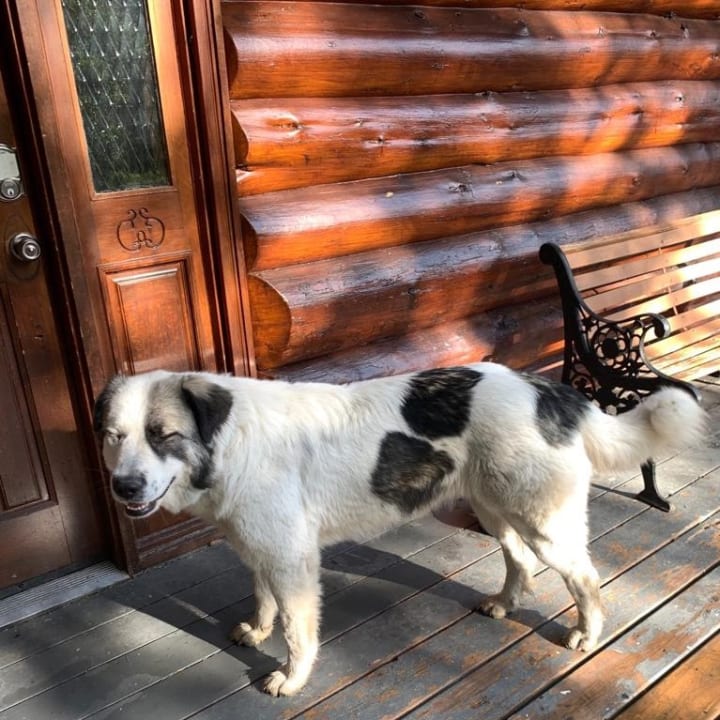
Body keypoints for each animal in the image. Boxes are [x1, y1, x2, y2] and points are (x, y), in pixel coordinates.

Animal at [93, 363, 705, 696]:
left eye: (163, 434)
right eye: (114, 436)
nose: (123, 487)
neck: (227, 443)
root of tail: (551, 390)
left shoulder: (292, 559)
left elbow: (297, 630)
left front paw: (291, 678)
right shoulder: (261, 548)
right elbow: (265, 601)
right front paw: (258, 631)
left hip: (544, 523)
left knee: (586, 579)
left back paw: (586, 634)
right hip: (494, 509)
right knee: (519, 562)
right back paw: (503, 604)